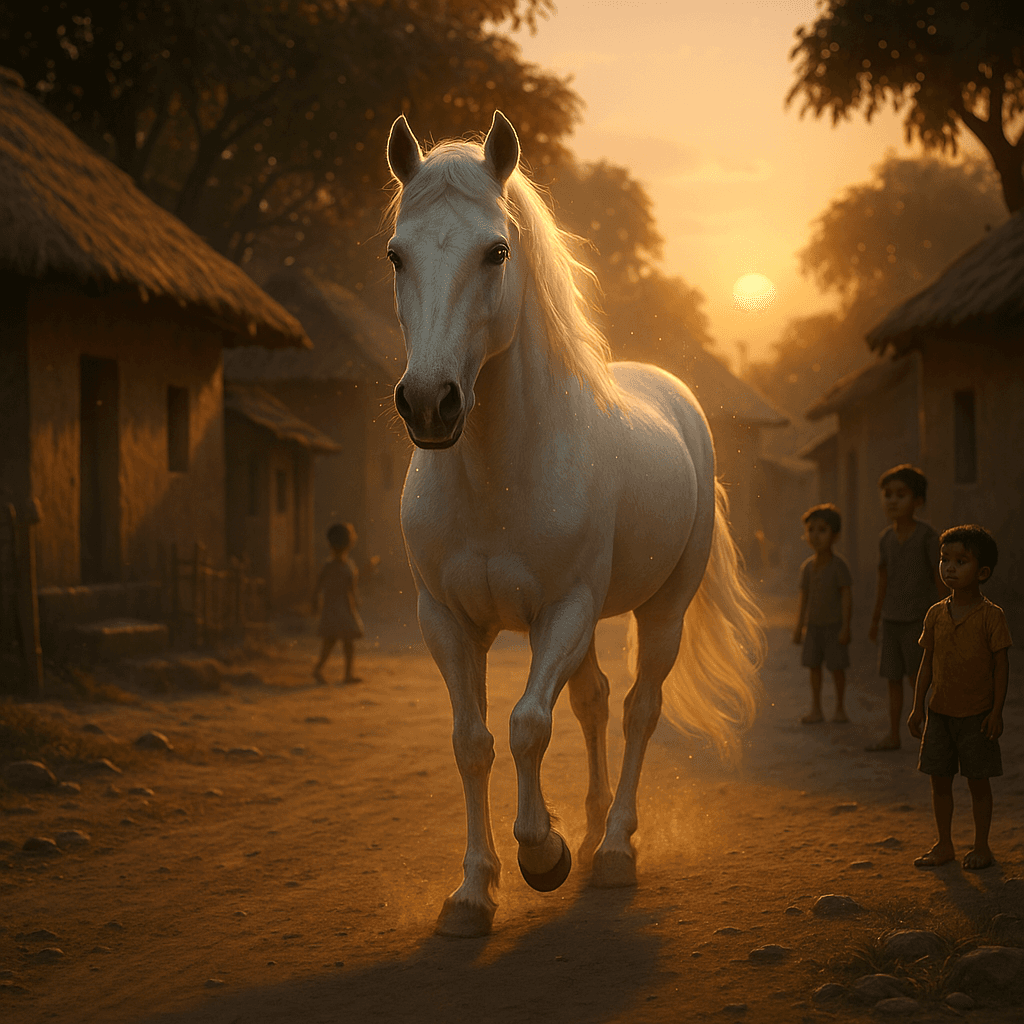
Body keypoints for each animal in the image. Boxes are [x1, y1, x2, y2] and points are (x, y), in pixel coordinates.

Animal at [384, 110, 763, 937]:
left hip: (659, 612)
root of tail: (679, 400)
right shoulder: (445, 620)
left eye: (496, 251)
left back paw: (613, 848)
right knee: (592, 703)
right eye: (396, 255)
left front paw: (543, 853)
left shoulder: (562, 610)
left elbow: (528, 724)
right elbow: (472, 741)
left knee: (638, 709)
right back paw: (591, 835)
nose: (430, 403)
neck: (498, 474)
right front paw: (473, 891)